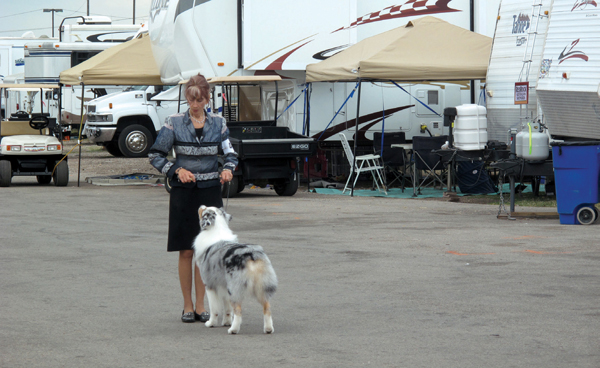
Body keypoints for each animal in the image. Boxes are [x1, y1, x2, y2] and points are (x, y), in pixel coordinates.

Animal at [193, 206, 278, 334]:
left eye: (205, 210)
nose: (201, 206)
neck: (217, 228)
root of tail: (251, 254)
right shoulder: (224, 286)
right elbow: (227, 309)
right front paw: (226, 322)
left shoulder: (210, 285)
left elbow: (214, 309)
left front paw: (211, 323)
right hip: (261, 287)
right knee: (267, 308)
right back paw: (268, 329)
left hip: (235, 288)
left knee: (238, 310)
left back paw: (233, 329)